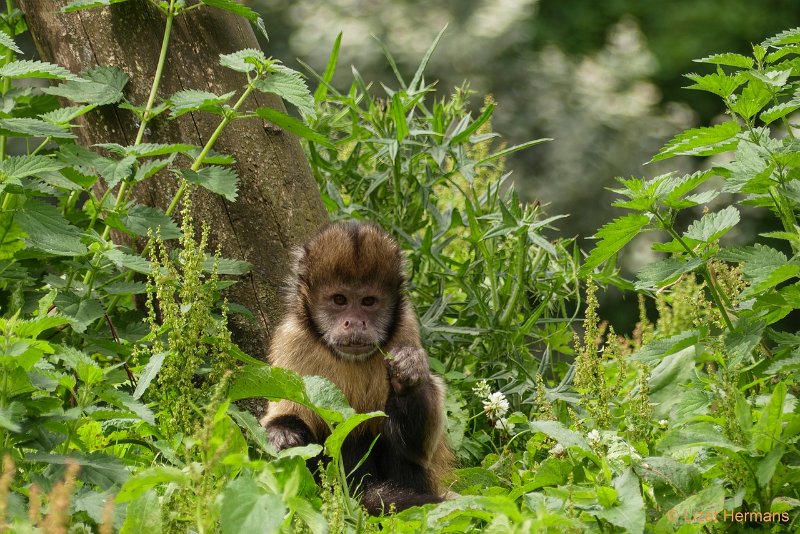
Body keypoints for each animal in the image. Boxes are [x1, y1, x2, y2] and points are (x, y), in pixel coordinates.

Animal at [260, 221, 454, 516]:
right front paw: (283, 435)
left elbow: (418, 450)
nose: (354, 322)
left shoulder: (406, 329)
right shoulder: (291, 340)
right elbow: (283, 414)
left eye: (368, 302)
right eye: (340, 300)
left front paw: (407, 376)